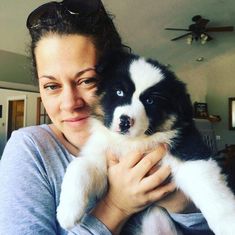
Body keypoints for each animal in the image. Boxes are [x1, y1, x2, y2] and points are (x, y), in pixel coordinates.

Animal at [56, 52, 235, 234]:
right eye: (119, 92)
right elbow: (78, 166)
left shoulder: (188, 149)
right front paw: (67, 213)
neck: (132, 141)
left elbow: (211, 190)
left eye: (150, 101)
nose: (125, 122)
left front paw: (228, 224)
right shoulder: (102, 160)